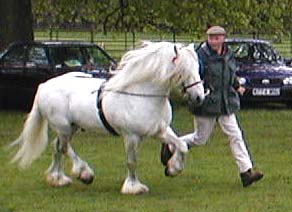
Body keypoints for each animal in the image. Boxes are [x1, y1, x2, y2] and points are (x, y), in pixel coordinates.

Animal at [10, 41, 204, 194]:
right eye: (183, 70)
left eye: (197, 68)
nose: (199, 97)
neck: (141, 93)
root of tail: (44, 86)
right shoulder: (131, 137)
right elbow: (132, 161)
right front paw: (133, 187)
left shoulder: (160, 130)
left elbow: (181, 145)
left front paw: (173, 168)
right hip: (63, 127)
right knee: (63, 148)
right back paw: (83, 174)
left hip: (71, 127)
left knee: (57, 147)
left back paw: (59, 178)